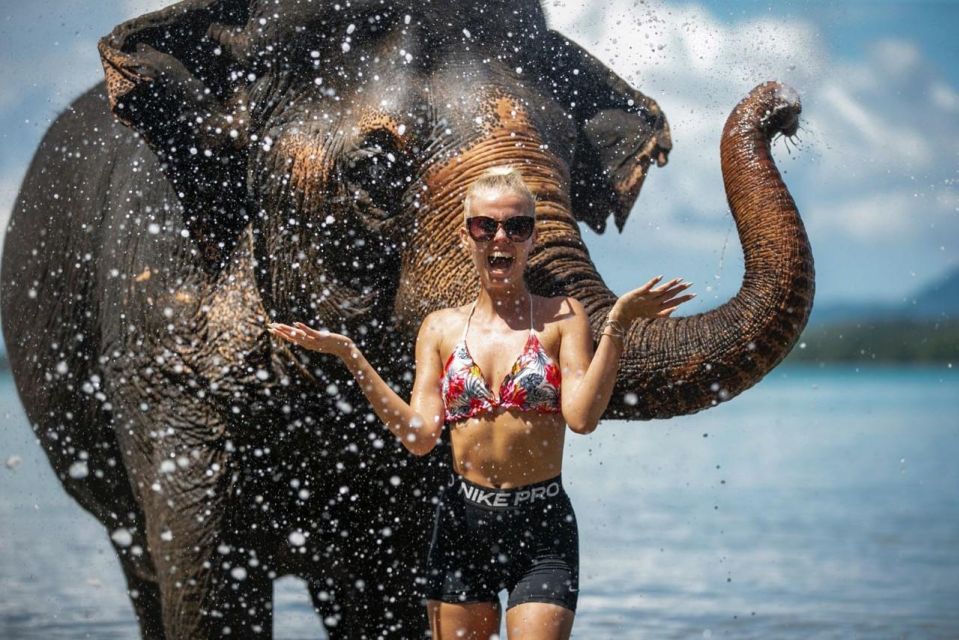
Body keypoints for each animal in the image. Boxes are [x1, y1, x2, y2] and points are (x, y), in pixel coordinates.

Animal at [0, 0, 813, 637]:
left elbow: (391, 587)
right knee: (141, 563)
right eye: (376, 167)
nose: (784, 106)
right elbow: (208, 582)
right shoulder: (159, 348)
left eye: (567, 158)